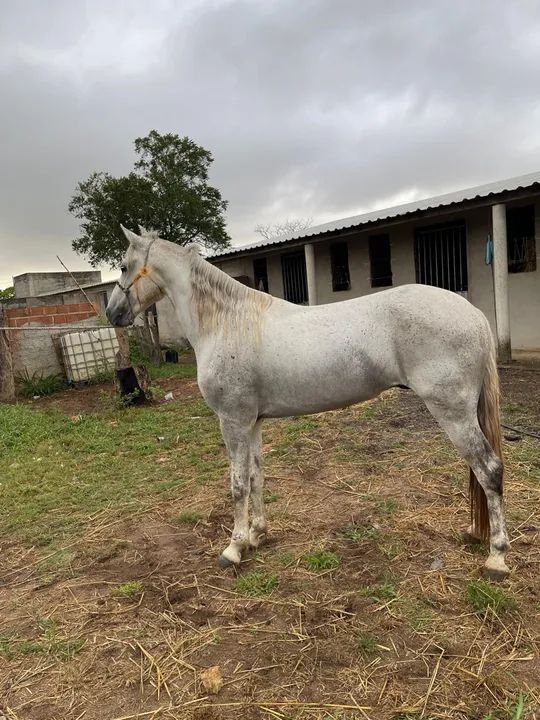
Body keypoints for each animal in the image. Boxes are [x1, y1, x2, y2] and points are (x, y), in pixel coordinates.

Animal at [106, 226, 510, 580]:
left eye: (123, 266)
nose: (112, 314)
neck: (227, 322)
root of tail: (474, 315)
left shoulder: (232, 421)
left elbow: (237, 485)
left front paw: (233, 548)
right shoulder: (252, 422)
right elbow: (256, 477)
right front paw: (257, 534)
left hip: (454, 414)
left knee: (489, 469)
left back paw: (496, 557)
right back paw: (477, 534)